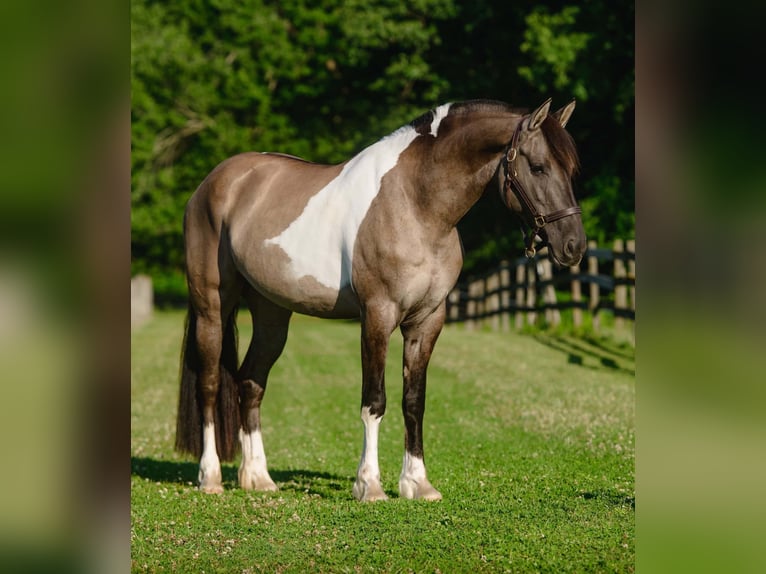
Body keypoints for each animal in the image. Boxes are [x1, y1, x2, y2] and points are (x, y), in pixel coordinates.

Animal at [175, 98, 586, 501]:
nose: (573, 246)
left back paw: (258, 478)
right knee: (209, 385)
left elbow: (414, 401)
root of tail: (214, 183)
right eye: (538, 167)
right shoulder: (377, 316)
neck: (416, 205)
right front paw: (369, 485)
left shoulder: (427, 321)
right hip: (212, 307)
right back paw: (210, 477)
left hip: (271, 314)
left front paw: (417, 484)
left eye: (571, 169)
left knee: (250, 382)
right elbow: (374, 401)